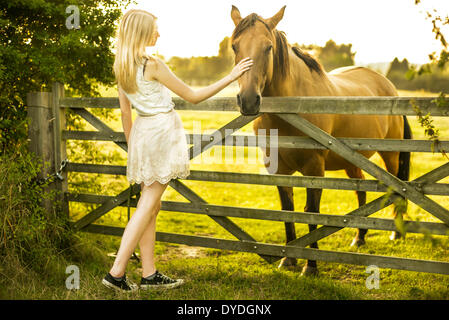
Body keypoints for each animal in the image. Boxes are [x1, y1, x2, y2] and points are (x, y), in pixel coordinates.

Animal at [231, 5, 410, 276]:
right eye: (234, 46)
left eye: (268, 47)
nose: (249, 100)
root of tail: (388, 86)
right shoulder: (279, 170)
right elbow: (288, 211)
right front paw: (288, 259)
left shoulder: (314, 168)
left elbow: (311, 212)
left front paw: (310, 266)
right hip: (353, 162)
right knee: (360, 190)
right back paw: (359, 237)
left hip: (390, 156)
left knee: (396, 190)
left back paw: (395, 234)